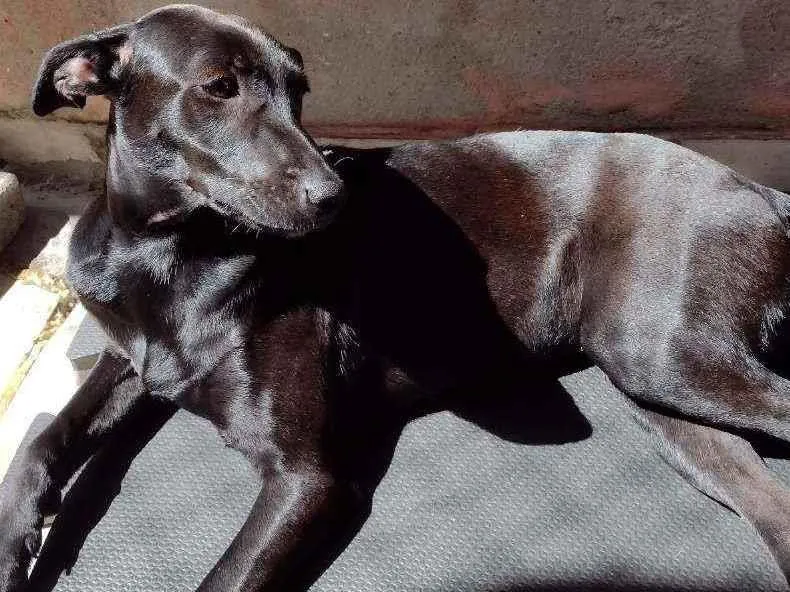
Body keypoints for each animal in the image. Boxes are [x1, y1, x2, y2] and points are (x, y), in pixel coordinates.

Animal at [3, 4, 790, 590]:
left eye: (299, 92)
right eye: (219, 87)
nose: (334, 197)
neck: (166, 256)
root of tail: (756, 188)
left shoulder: (307, 478)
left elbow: (222, 580)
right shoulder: (127, 363)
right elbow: (44, 436)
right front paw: (18, 535)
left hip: (663, 357)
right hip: (664, 405)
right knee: (774, 510)